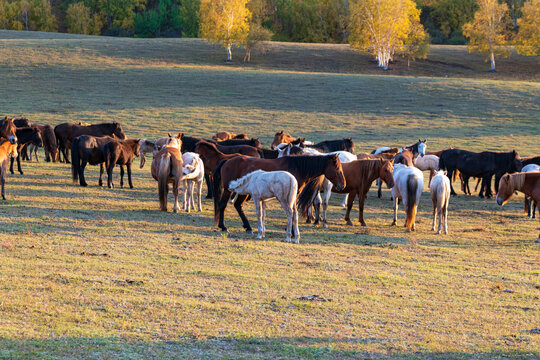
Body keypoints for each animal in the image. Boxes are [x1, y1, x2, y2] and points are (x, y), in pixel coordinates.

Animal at [212, 153, 344, 232]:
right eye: (337, 167)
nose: (342, 184)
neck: (297, 167)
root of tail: (227, 161)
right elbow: (292, 211)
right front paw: (291, 230)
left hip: (243, 191)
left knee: (238, 205)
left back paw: (248, 227)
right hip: (229, 190)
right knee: (223, 205)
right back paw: (223, 226)